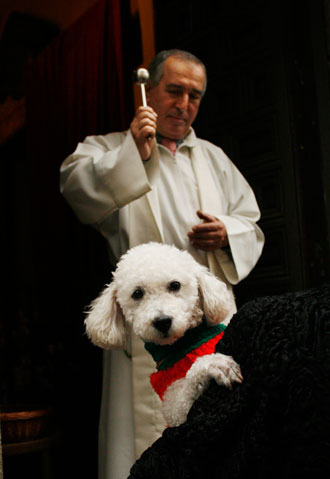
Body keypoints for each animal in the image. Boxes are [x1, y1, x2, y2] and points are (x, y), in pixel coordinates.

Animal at [85, 244, 242, 428]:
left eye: (175, 285)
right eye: (137, 293)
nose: (162, 321)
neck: (187, 343)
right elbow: (186, 390)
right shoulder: (173, 407)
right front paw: (212, 364)